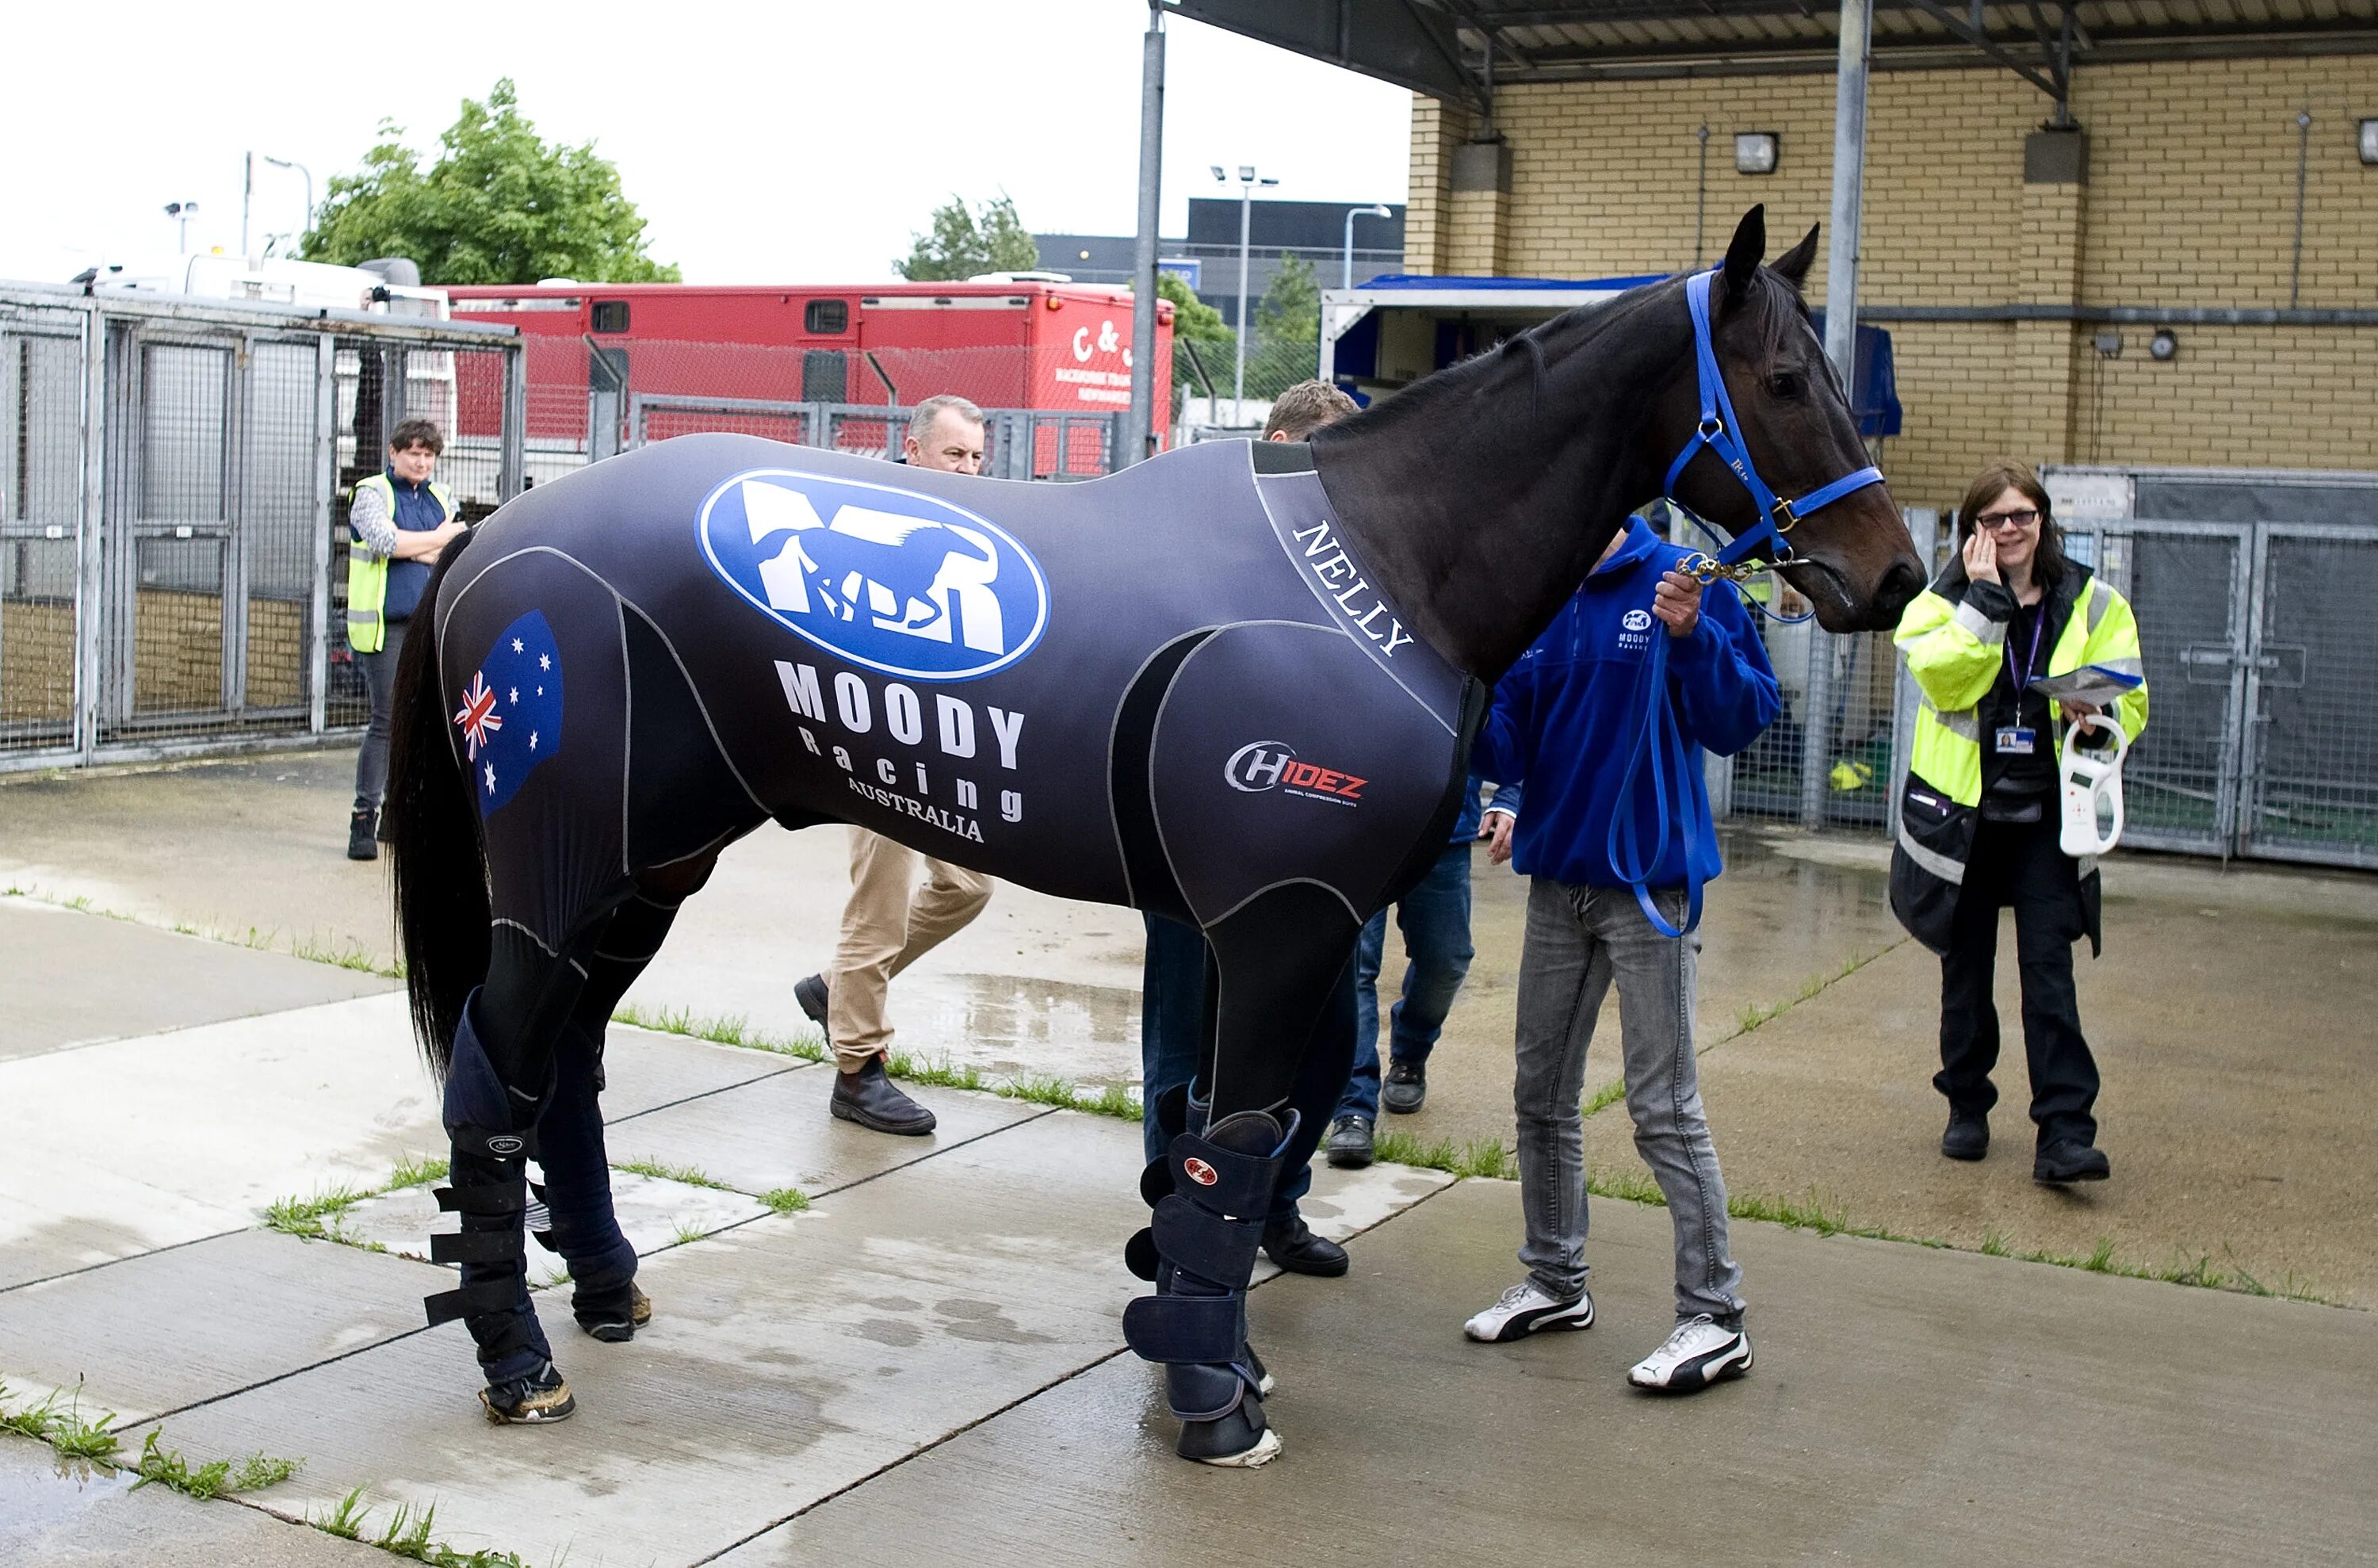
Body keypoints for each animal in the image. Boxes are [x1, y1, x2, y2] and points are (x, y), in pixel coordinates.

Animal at [376, 205, 1931, 1455]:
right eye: (1782, 381)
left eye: (1841, 378)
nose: (1895, 576)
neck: (1384, 559)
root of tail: (491, 530)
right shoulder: (1283, 922)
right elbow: (1233, 1145)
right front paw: (1212, 1402)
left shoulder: (1303, 931)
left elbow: (1245, 1149)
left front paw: (1218, 1350)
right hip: (560, 876)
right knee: (493, 1075)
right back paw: (516, 1358)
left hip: (649, 868)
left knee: (564, 1071)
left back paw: (606, 1284)